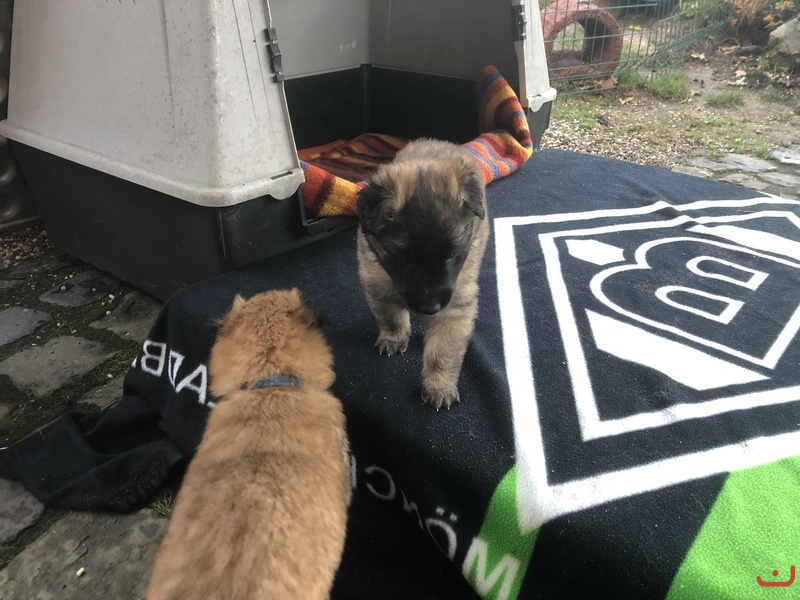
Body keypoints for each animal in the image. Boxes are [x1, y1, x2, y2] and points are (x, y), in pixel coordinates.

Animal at [356, 138, 489, 410]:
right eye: (404, 258)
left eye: (451, 255)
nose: (430, 308)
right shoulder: (377, 281)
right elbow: (391, 316)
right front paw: (394, 338)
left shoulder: (454, 307)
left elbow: (442, 352)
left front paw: (439, 386)